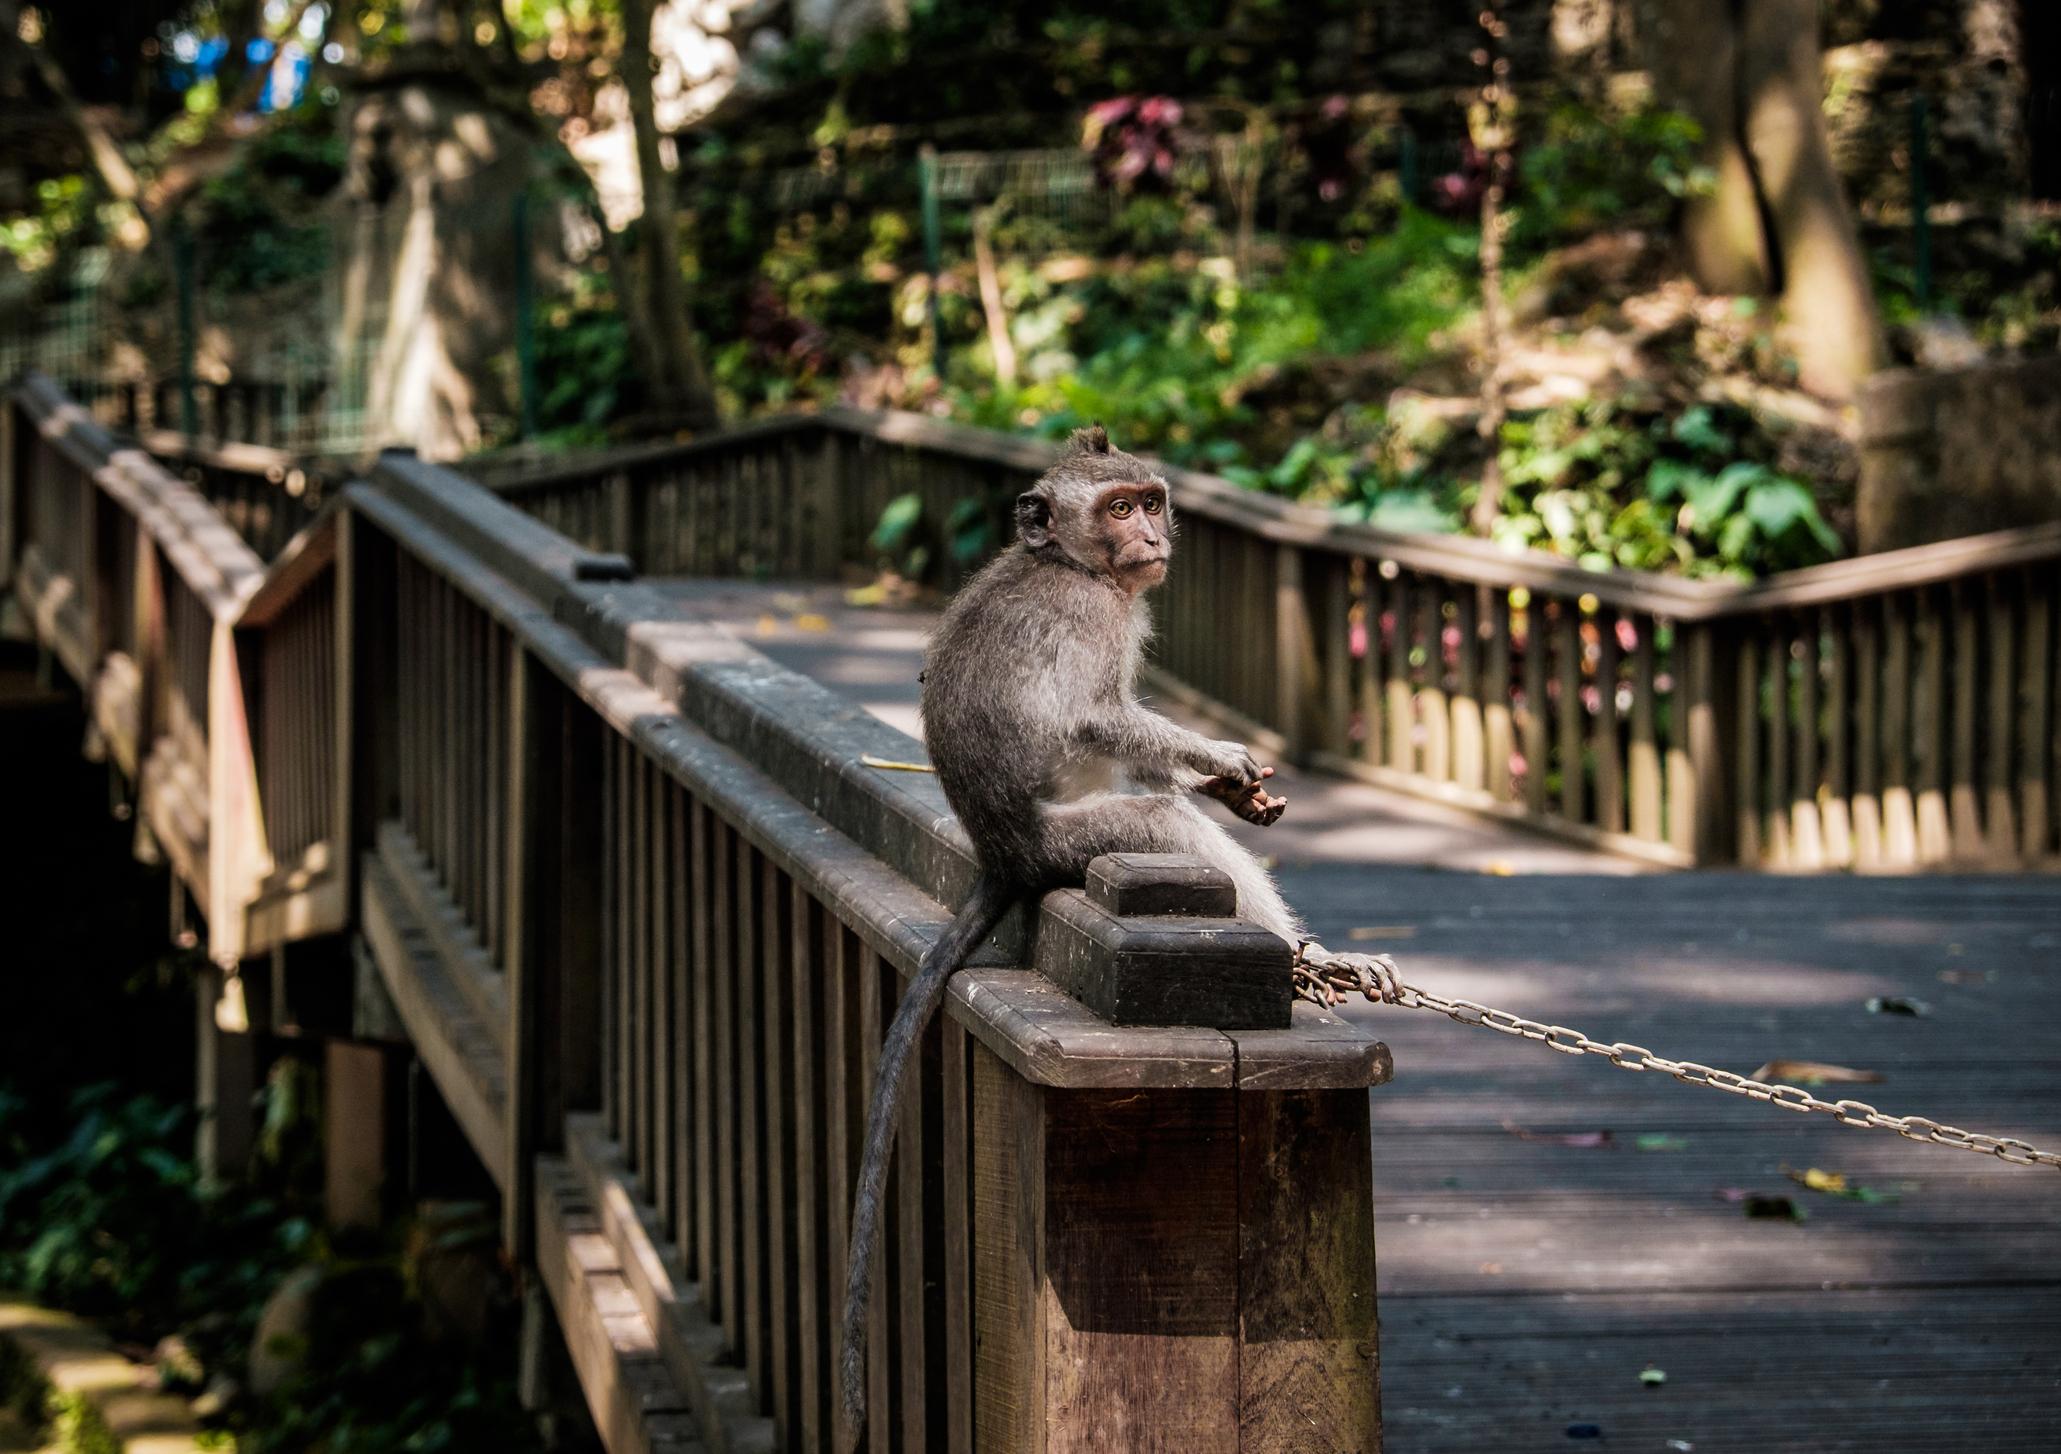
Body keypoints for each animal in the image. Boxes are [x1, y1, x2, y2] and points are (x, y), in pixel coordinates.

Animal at [837, 424, 1393, 1443]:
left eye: (1148, 499)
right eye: (1117, 507)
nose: (1149, 536)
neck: (1070, 564)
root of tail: (1004, 854)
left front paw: (1234, 786)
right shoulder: (1092, 617)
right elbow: (1093, 716)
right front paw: (1220, 760)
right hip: (1075, 838)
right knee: (1160, 820)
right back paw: (1303, 963)